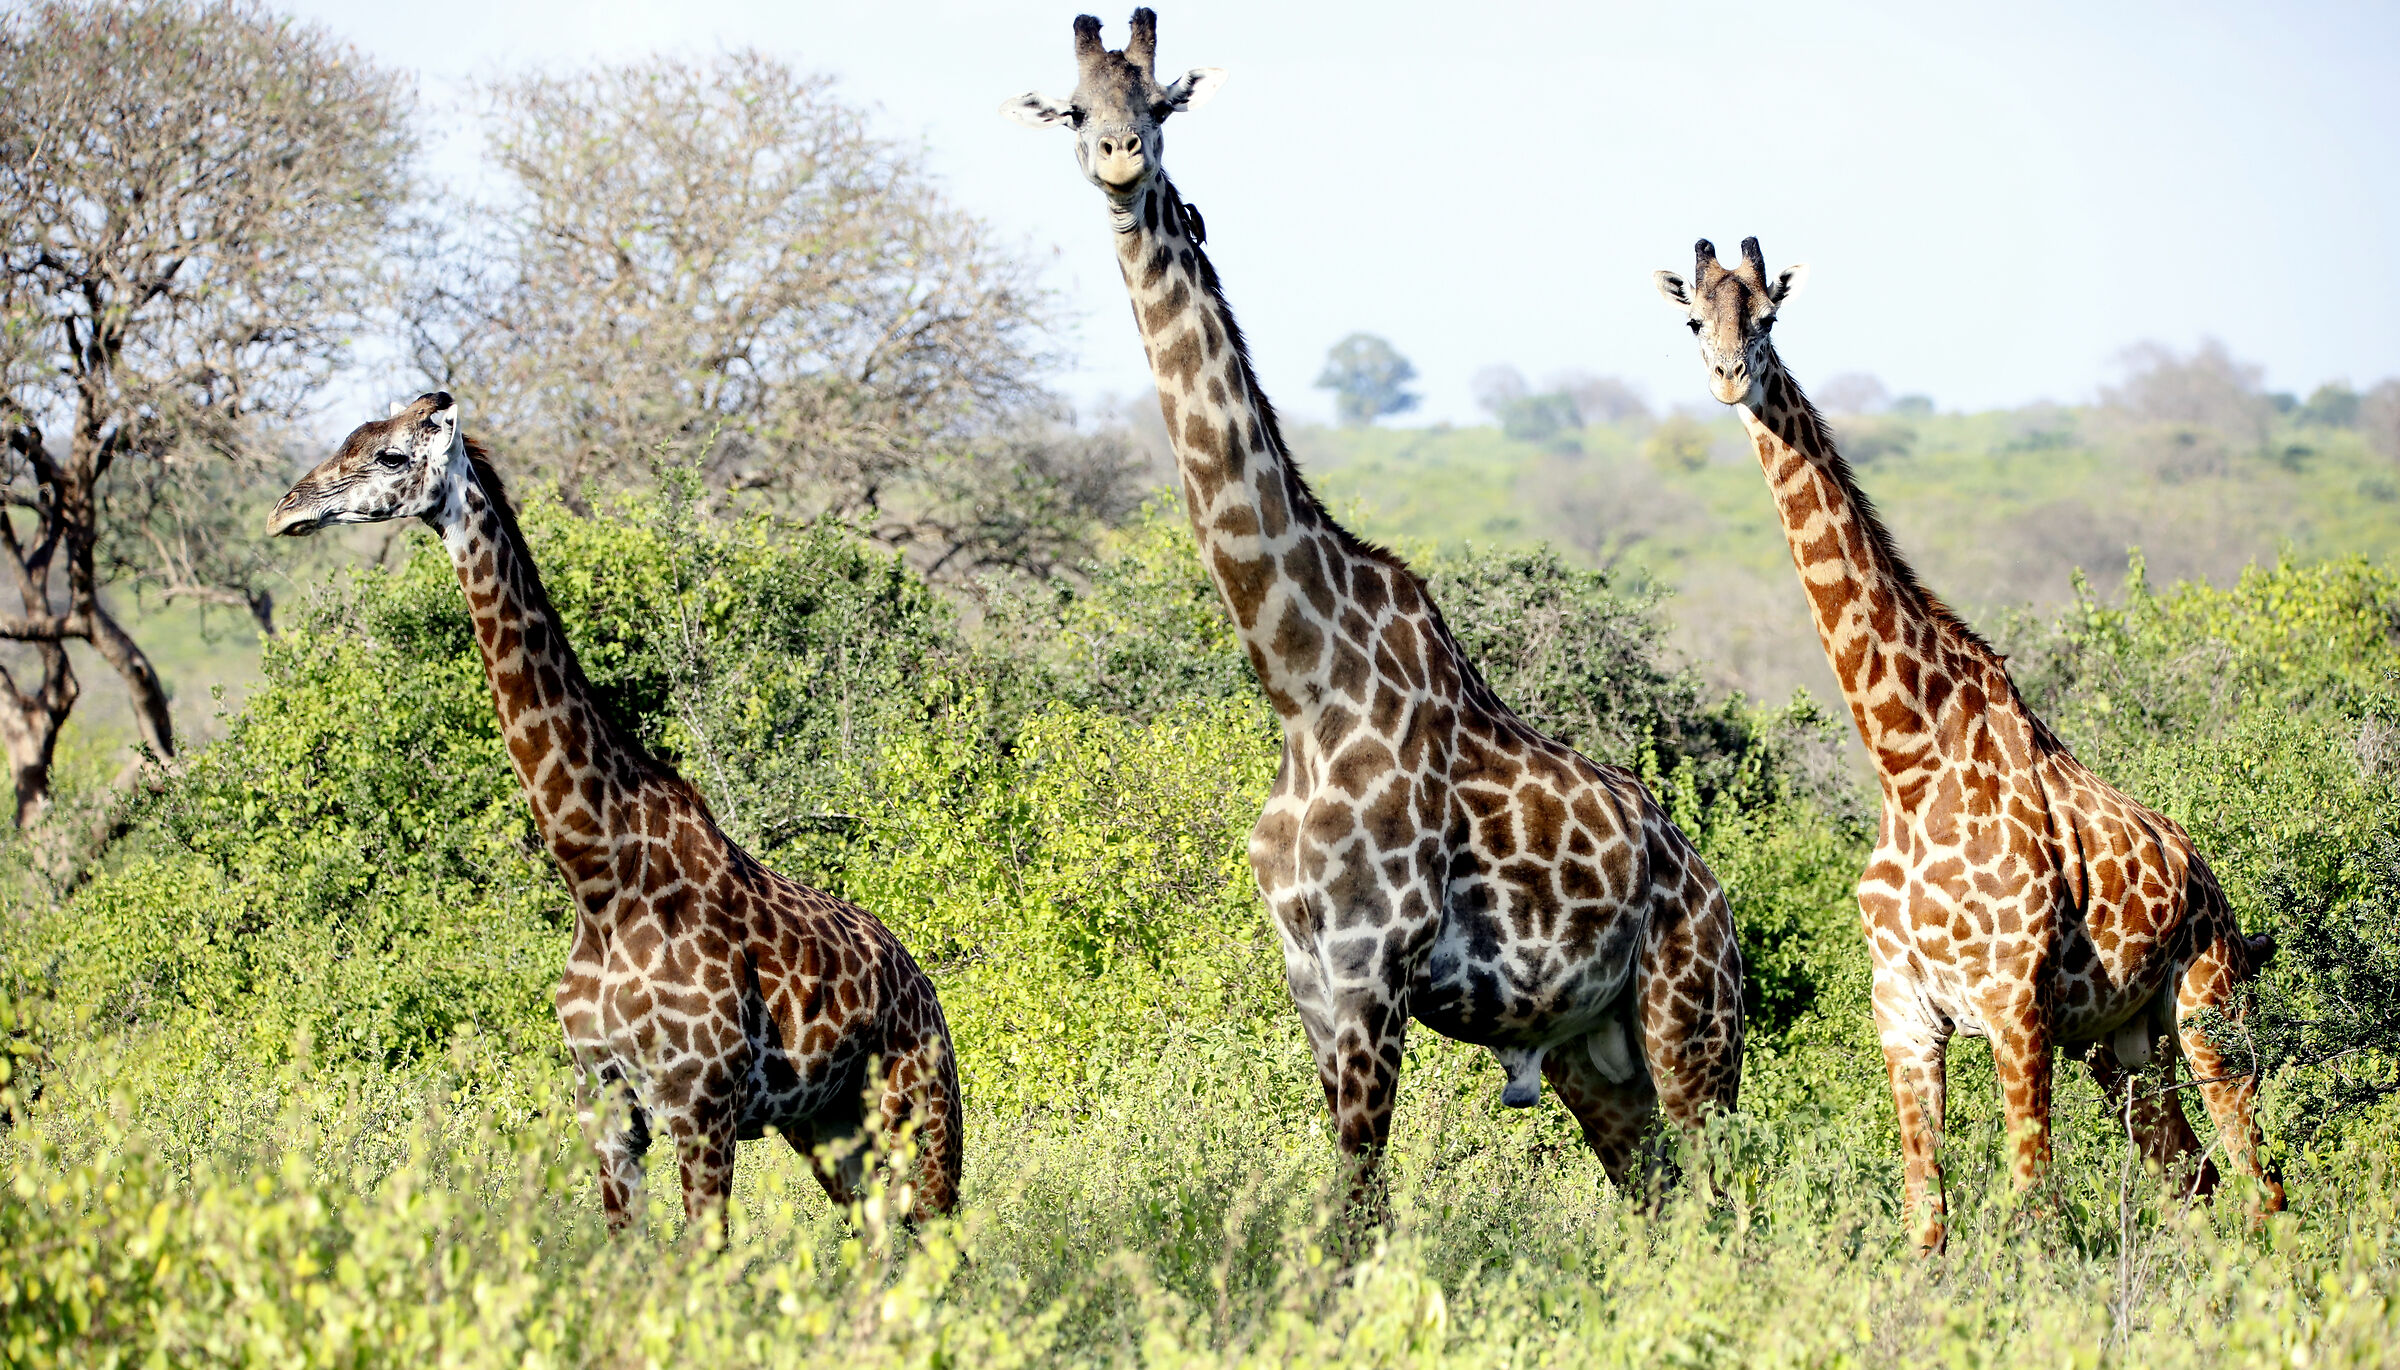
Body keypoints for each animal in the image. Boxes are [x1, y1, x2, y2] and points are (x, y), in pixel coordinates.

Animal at [268, 392, 963, 1236]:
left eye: (391, 456)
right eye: (353, 437)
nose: (285, 510)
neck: (597, 872)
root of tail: (923, 984)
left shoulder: (701, 1105)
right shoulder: (604, 1102)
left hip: (920, 1111)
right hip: (829, 1128)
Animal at [1004, 10, 1745, 1208]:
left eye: (1157, 103)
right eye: (1078, 108)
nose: (1120, 160)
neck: (1301, 678)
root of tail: (1718, 895)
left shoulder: (1372, 965)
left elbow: (1355, 1202)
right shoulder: (1308, 972)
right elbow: (1356, 1195)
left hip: (1694, 1025)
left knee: (1733, 1200)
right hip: (1595, 1055)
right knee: (1662, 1198)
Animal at [1655, 238, 2286, 1251]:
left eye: (1768, 317)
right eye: (1692, 320)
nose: (1727, 378)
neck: (1908, 761)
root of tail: (2204, 874)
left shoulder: (2015, 1005)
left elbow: (2034, 1207)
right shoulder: (1905, 1012)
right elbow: (1927, 1218)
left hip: (2206, 1003)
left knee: (2258, 1177)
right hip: (2121, 1043)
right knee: (2194, 1180)